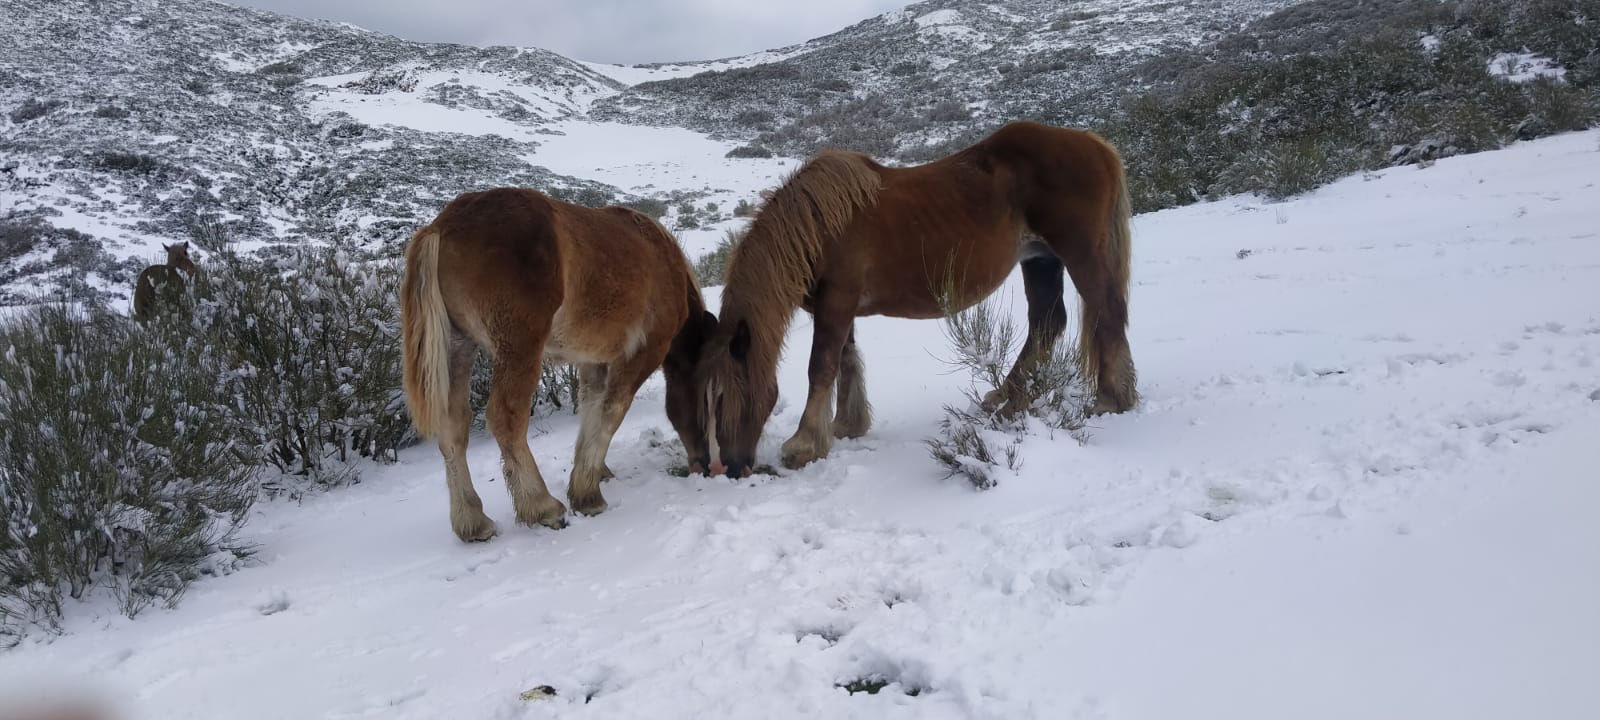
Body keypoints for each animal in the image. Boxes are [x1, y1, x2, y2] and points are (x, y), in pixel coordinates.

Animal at [400, 185, 720, 540]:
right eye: (711, 397)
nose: (708, 464)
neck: (663, 260)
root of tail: (441, 227)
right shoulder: (642, 353)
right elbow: (612, 411)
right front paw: (587, 494)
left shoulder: (594, 362)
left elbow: (592, 409)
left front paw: (596, 471)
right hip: (519, 349)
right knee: (506, 420)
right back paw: (541, 505)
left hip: (459, 346)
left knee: (453, 427)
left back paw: (472, 520)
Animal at [700, 120, 1139, 476]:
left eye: (721, 397)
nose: (731, 467)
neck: (820, 224)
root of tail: (1095, 144)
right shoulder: (840, 308)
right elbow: (847, 361)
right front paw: (846, 425)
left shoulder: (836, 302)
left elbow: (821, 366)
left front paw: (804, 445)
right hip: (1040, 260)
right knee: (1047, 323)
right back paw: (1008, 398)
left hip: (1080, 255)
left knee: (1107, 313)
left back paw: (1110, 399)